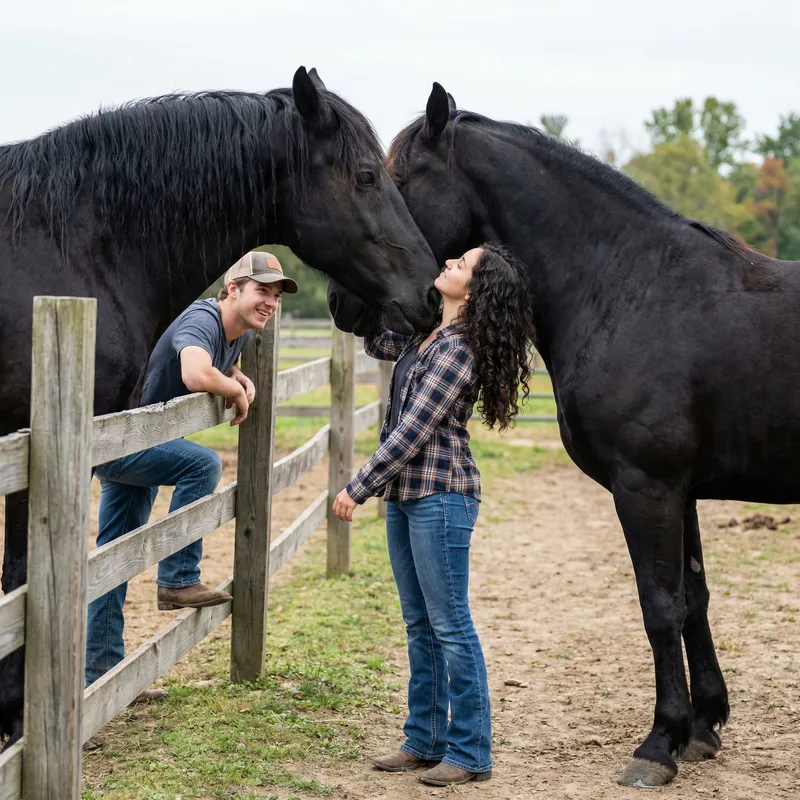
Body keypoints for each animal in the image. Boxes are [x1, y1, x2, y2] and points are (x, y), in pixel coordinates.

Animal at [328, 83, 800, 788]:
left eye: (397, 181)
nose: (340, 304)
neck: (632, 290)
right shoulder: (681, 490)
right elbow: (693, 598)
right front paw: (703, 727)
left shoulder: (648, 488)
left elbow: (659, 606)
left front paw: (658, 744)